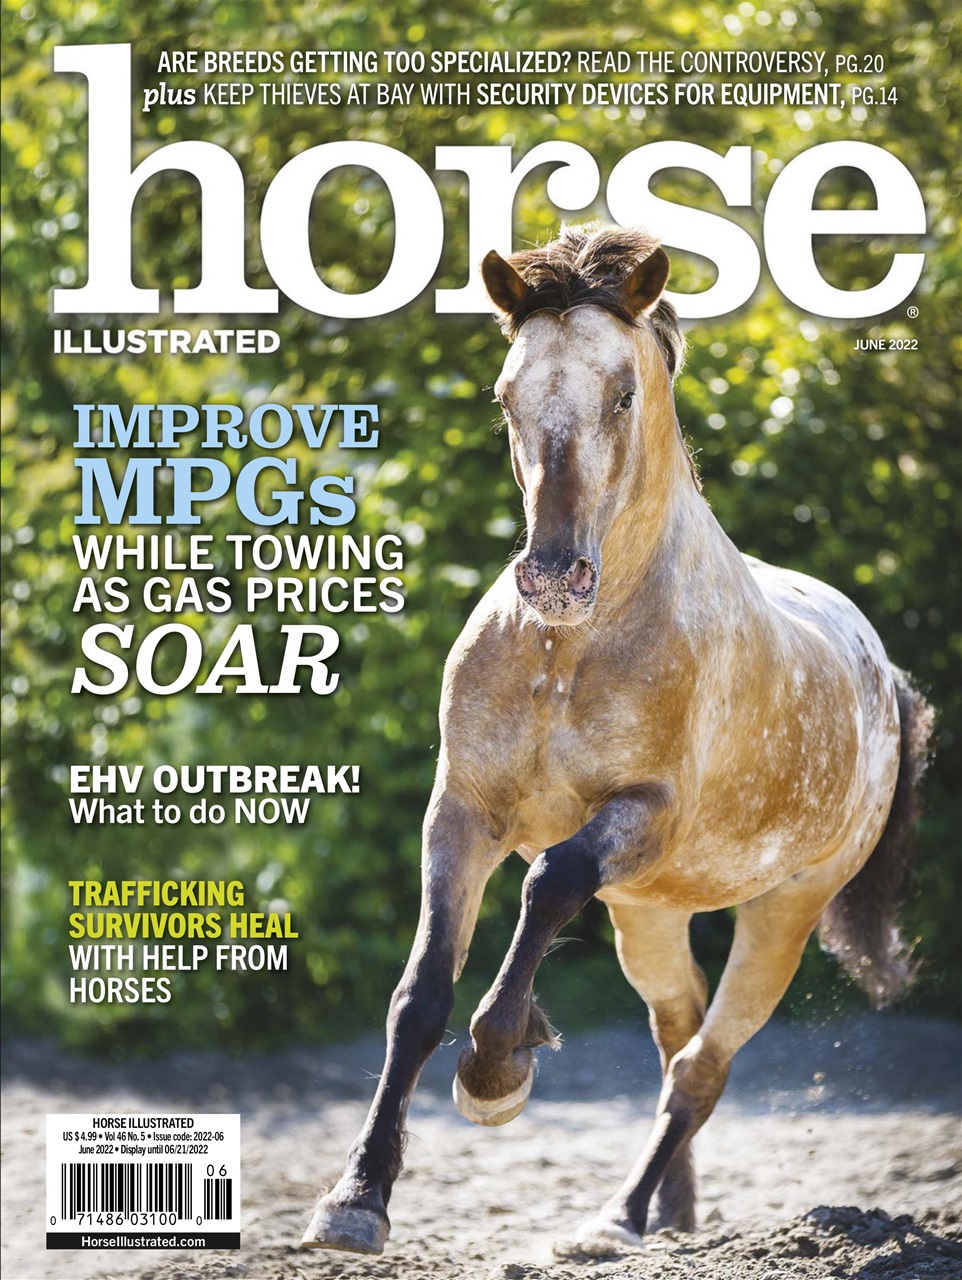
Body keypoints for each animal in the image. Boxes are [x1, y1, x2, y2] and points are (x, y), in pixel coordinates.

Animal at [301, 224, 933, 1256]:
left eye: (624, 394)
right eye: (506, 395)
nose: (555, 575)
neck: (567, 651)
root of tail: (886, 678)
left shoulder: (642, 818)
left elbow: (548, 881)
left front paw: (499, 1068)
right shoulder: (462, 812)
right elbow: (419, 992)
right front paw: (355, 1199)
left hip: (784, 910)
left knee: (701, 1066)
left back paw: (619, 1218)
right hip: (649, 911)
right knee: (676, 1034)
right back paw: (672, 1217)